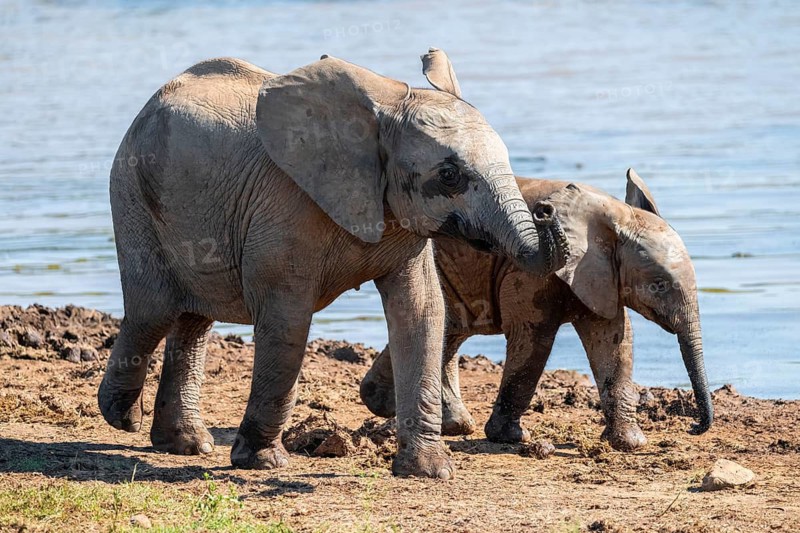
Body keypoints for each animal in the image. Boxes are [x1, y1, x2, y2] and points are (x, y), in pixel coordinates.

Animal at [96, 49, 568, 479]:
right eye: (449, 175)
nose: (546, 209)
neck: (386, 112)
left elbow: (421, 313)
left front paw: (428, 472)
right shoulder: (285, 207)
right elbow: (287, 321)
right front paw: (263, 462)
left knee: (194, 318)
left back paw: (186, 444)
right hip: (132, 189)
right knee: (154, 309)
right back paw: (123, 416)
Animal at [360, 169, 713, 452]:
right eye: (659, 284)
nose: (693, 427)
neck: (611, 213)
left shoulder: (601, 275)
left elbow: (613, 343)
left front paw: (630, 444)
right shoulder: (529, 269)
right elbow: (534, 341)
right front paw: (512, 437)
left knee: (449, 332)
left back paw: (432, 419)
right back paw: (387, 405)